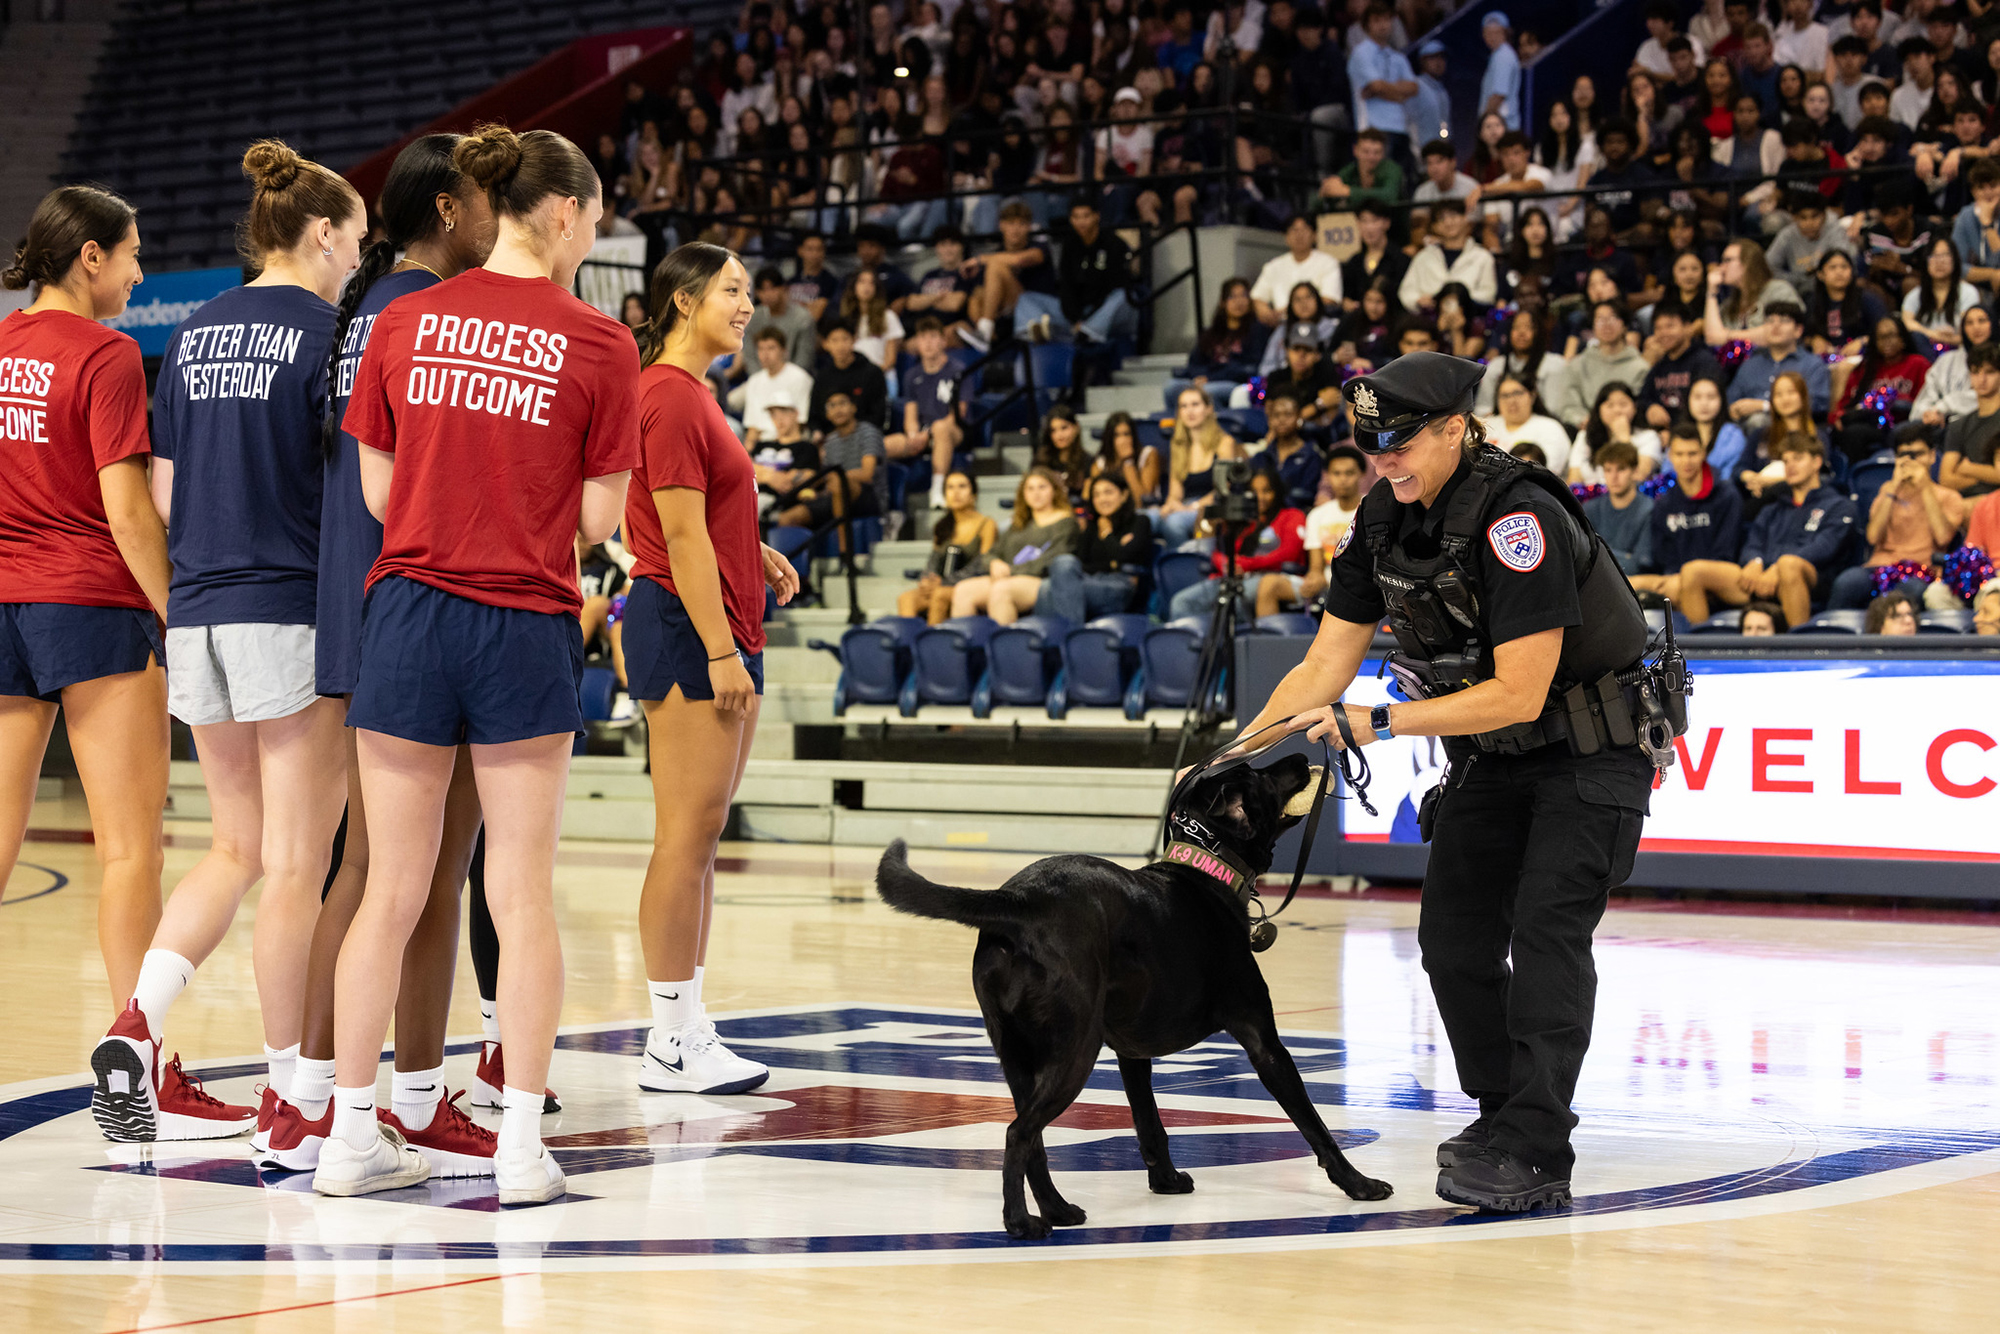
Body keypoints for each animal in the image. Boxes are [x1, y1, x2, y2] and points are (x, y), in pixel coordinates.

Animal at [876, 752, 1392, 1240]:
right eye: (1258, 774)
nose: (1302, 753)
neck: (1206, 872)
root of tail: (1020, 903)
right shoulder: (1264, 1043)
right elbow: (1314, 1124)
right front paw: (1359, 1185)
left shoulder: (1131, 1054)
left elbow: (1150, 1122)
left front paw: (1165, 1181)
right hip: (1074, 1050)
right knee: (1018, 1133)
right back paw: (1020, 1221)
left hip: (1017, 1055)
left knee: (1033, 1137)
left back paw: (1058, 1210)